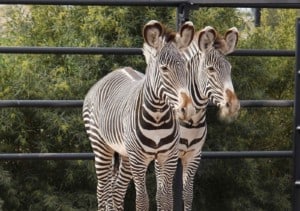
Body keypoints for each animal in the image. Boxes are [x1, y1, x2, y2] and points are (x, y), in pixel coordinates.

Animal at [82, 20, 196, 211]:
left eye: (186, 69)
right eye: (164, 69)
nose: (187, 109)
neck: (158, 117)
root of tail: (113, 73)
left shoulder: (169, 158)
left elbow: (166, 199)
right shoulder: (138, 160)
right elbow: (142, 200)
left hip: (124, 154)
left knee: (116, 191)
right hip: (101, 146)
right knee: (102, 189)